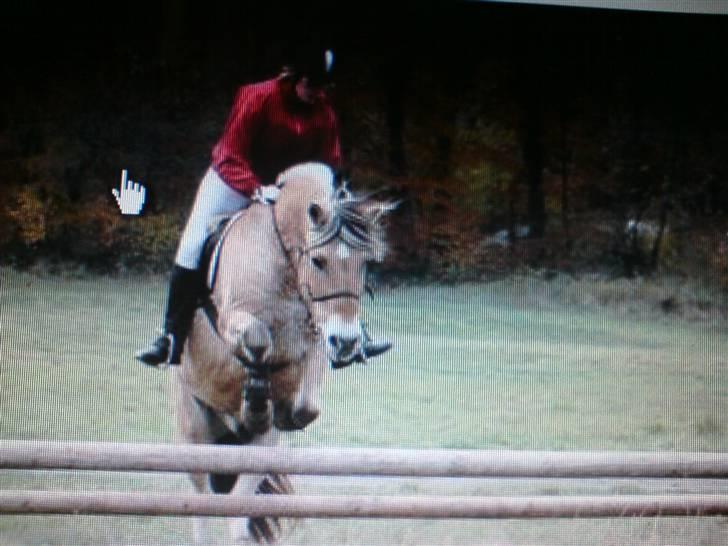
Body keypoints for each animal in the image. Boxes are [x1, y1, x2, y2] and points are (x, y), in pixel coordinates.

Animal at [171, 160, 392, 540]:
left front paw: (280, 409)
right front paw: (257, 393)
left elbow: (308, 403)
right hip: (194, 426)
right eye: (318, 261)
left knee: (237, 512)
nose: (348, 342)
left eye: (365, 264)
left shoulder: (318, 337)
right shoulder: (233, 320)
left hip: (260, 449)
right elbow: (258, 338)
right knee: (200, 500)